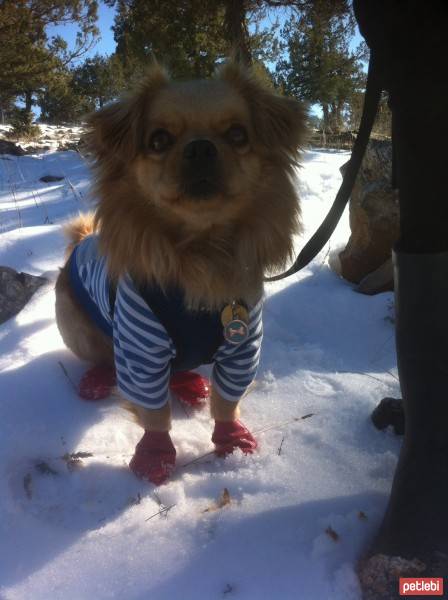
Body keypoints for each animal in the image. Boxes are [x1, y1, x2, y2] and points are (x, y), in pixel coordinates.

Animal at [52, 59, 304, 482]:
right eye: (158, 140)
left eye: (238, 134)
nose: (201, 147)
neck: (201, 255)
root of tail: (82, 240)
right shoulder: (140, 348)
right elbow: (154, 413)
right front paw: (154, 455)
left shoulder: (242, 347)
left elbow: (226, 401)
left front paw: (231, 440)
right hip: (77, 325)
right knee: (103, 355)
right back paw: (99, 378)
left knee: (178, 369)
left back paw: (188, 382)